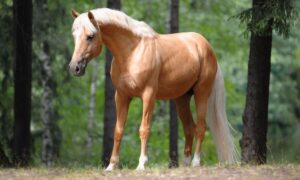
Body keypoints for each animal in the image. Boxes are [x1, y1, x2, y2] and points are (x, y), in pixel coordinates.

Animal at [69, 8, 238, 170]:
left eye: (90, 36)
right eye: (74, 35)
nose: (74, 68)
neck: (132, 52)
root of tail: (207, 47)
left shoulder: (148, 95)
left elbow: (144, 129)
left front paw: (141, 164)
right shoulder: (122, 96)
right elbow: (118, 130)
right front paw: (111, 166)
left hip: (201, 94)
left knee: (201, 127)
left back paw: (196, 162)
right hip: (181, 99)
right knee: (189, 128)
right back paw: (185, 163)